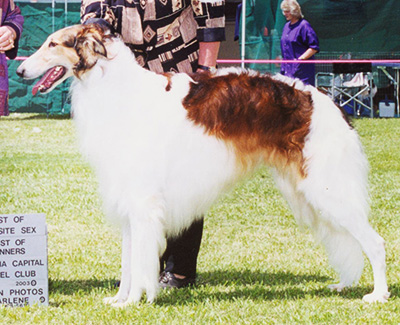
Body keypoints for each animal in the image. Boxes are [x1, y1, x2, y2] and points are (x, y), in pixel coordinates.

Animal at [17, 24, 390, 306]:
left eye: (53, 44)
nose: (19, 69)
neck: (115, 88)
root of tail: (333, 105)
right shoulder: (129, 202)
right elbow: (127, 263)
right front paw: (120, 299)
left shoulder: (143, 202)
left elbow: (139, 263)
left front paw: (135, 301)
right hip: (312, 194)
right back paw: (344, 284)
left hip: (326, 190)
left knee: (375, 242)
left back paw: (378, 294)